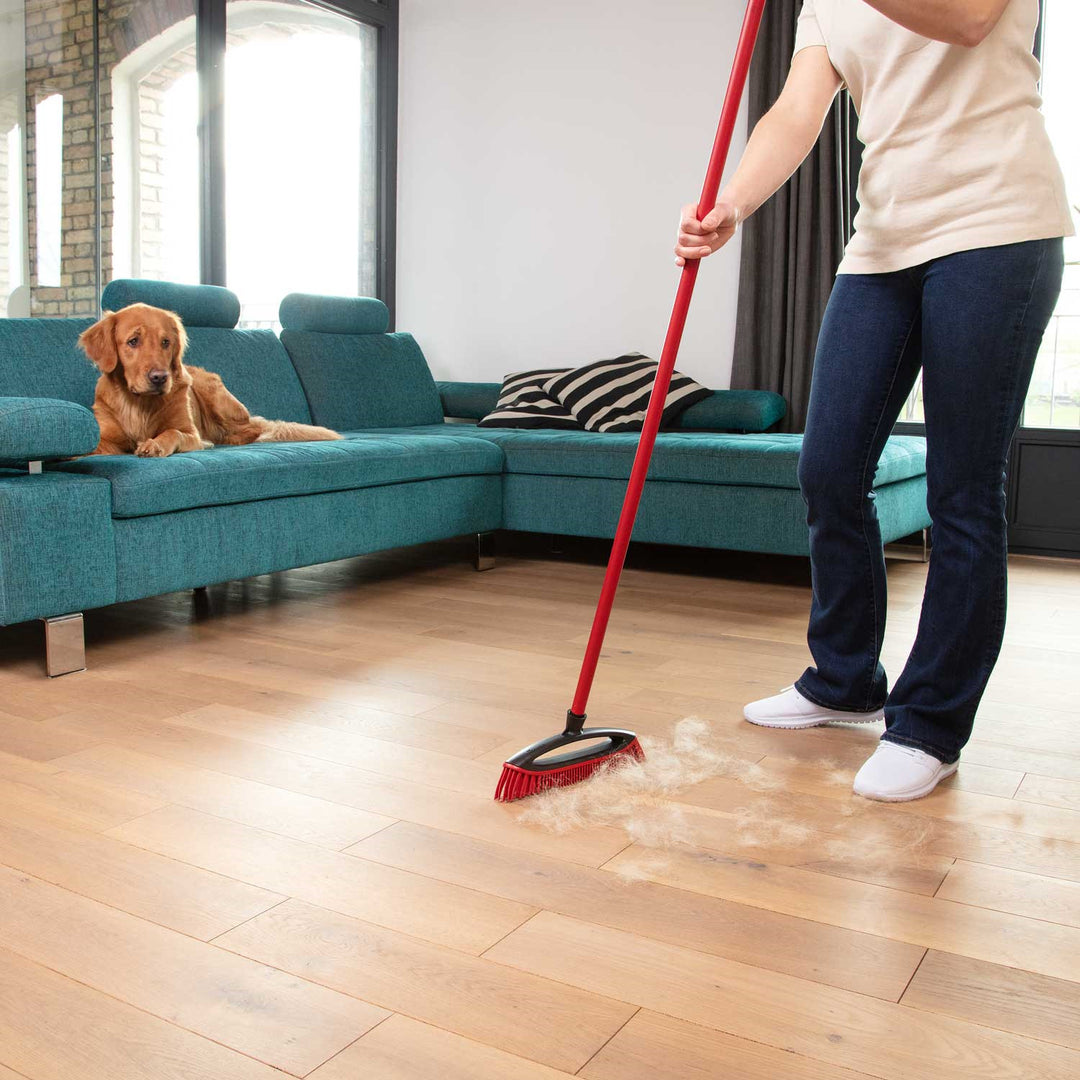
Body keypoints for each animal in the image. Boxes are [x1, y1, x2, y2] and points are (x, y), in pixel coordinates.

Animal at [78, 302, 339, 457]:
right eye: (133, 341)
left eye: (166, 342)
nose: (160, 378)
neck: (139, 403)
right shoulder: (105, 437)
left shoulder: (190, 433)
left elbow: (172, 432)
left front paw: (155, 444)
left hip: (212, 392)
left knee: (251, 429)